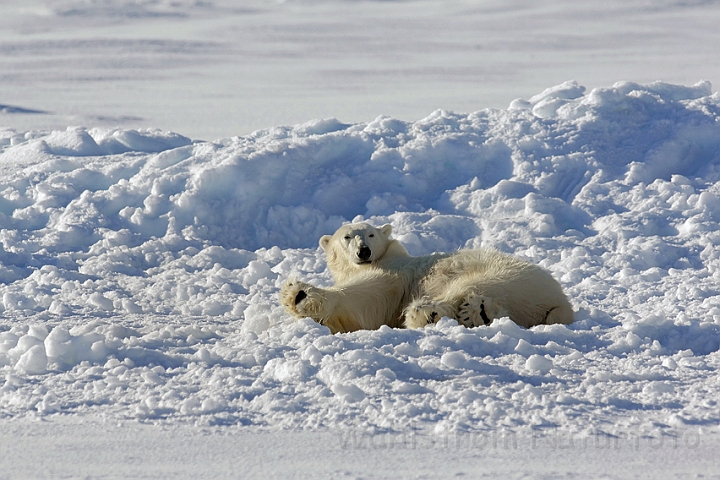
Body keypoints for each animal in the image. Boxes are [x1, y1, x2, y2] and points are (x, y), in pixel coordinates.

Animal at [280, 221, 572, 334]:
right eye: (347, 237)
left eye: (371, 234)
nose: (364, 251)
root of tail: (560, 300)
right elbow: (363, 315)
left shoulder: (394, 273)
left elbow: (369, 290)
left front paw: (299, 294)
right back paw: (477, 313)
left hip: (505, 272)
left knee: (464, 286)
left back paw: (428, 313)